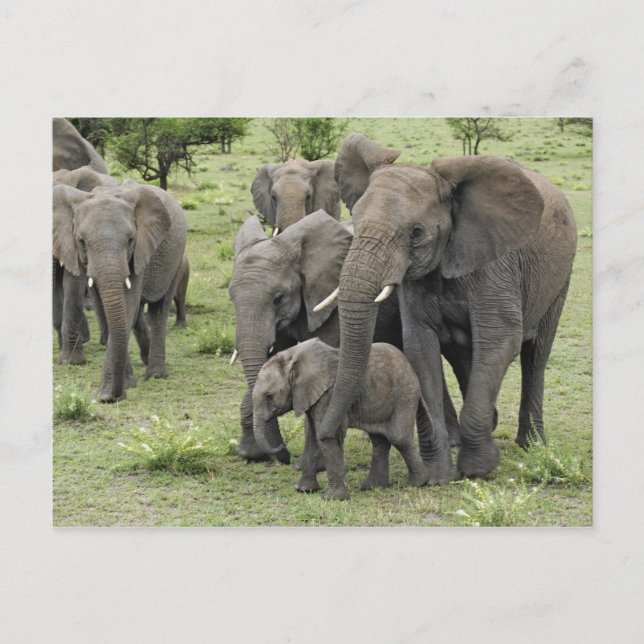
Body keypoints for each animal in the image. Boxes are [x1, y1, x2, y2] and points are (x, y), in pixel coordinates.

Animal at [52, 178, 187, 402]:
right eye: (81, 241)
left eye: (131, 240)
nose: (114, 396)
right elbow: (106, 309)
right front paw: (124, 387)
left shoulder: (139, 250)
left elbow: (127, 304)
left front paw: (108, 395)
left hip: (176, 258)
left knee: (159, 310)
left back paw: (156, 374)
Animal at [228, 209, 402, 478]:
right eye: (231, 298)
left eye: (278, 299)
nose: (283, 455)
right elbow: (268, 362)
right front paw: (250, 455)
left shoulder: (331, 301)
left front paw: (309, 466)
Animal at [253, 339, 430, 500]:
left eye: (269, 396)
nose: (281, 446)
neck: (293, 356)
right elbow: (311, 437)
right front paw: (304, 490)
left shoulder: (329, 395)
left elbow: (325, 438)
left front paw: (332, 498)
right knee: (379, 440)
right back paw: (372, 486)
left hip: (405, 394)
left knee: (398, 437)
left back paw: (418, 483)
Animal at [316, 133, 577, 480]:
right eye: (354, 224)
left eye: (416, 233)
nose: (328, 435)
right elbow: (420, 348)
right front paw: (438, 475)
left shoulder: (496, 265)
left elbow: (500, 339)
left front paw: (479, 469)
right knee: (463, 354)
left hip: (560, 276)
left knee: (536, 355)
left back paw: (532, 445)